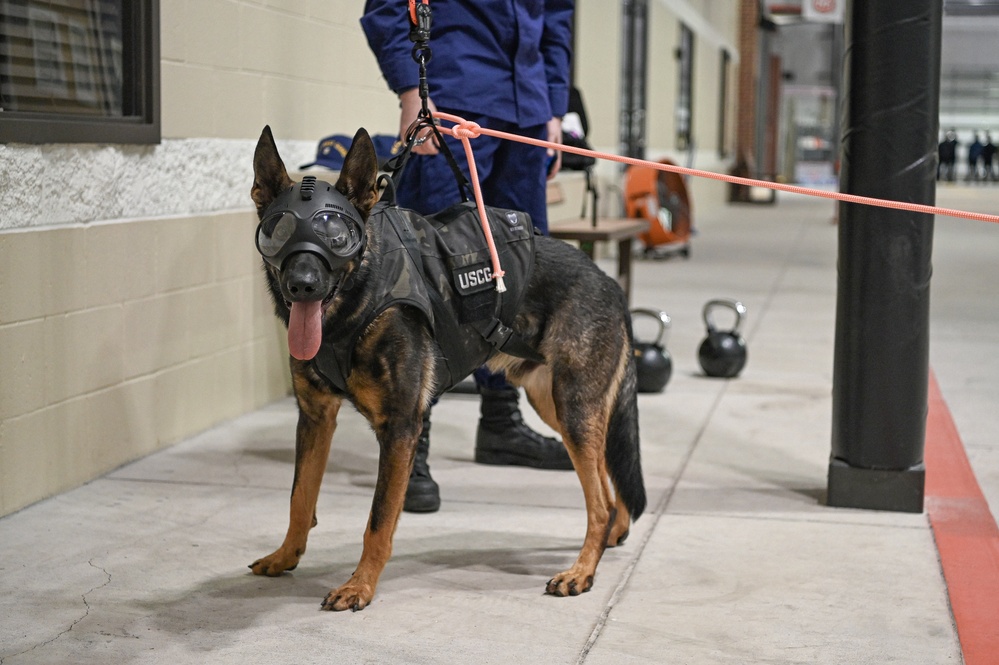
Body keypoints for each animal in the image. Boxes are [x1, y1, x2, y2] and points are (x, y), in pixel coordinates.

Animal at [246, 126, 644, 612]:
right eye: (278, 232)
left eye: (336, 235)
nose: (301, 285)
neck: (359, 298)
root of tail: (609, 283)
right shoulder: (316, 417)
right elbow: (299, 498)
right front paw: (286, 556)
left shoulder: (400, 427)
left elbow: (378, 519)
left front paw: (360, 585)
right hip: (558, 406)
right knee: (605, 482)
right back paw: (609, 539)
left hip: (573, 408)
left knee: (599, 502)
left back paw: (582, 570)